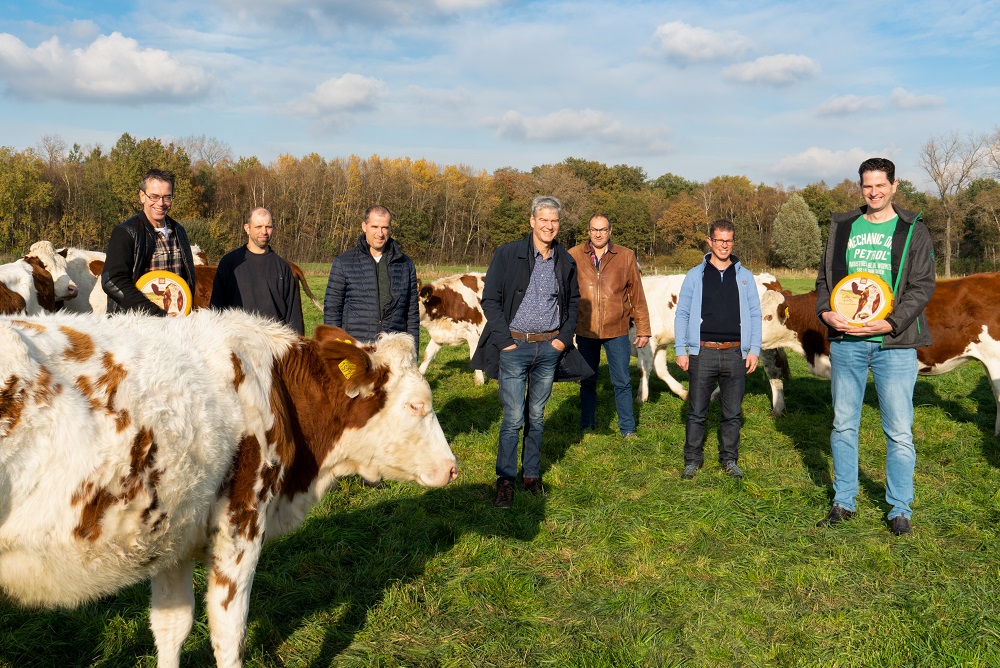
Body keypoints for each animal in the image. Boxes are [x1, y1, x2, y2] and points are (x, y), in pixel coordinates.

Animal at [0, 310, 458, 664]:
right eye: (417, 404)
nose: (453, 469)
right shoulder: (241, 523)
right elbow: (228, 635)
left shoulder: (172, 533)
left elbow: (171, 627)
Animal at [632, 270, 788, 412]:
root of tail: (769, 279)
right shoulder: (660, 343)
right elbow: (660, 371)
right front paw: (683, 392)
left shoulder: (648, 340)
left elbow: (642, 369)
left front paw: (640, 398)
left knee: (773, 369)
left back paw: (777, 408)